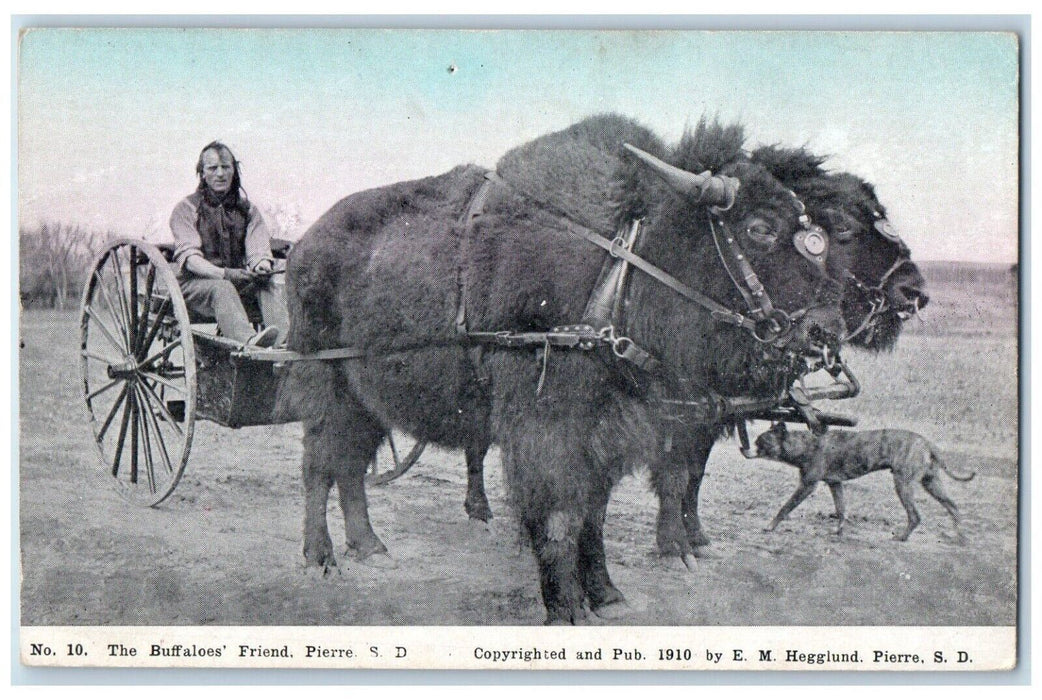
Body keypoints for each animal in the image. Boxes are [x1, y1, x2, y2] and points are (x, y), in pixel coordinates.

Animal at [283, 114, 846, 625]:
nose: (827, 329)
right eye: (759, 229)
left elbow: (593, 516)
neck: (624, 264)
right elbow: (560, 517)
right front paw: (566, 610)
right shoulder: (549, 430)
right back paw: (320, 558)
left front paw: (608, 597)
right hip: (324, 382)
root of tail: (304, 245)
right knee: (319, 466)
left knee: (349, 465)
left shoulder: (608, 434)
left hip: (365, 398)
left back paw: (369, 547)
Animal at [754, 420, 971, 541]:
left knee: (915, 516)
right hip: (931, 483)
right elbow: (841, 510)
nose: (746, 449)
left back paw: (902, 537)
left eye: (760, 443)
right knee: (953, 506)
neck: (805, 445)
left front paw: (770, 526)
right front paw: (839, 531)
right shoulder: (835, 484)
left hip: (903, 484)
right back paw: (959, 537)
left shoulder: (807, 486)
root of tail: (927, 443)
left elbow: (785, 508)